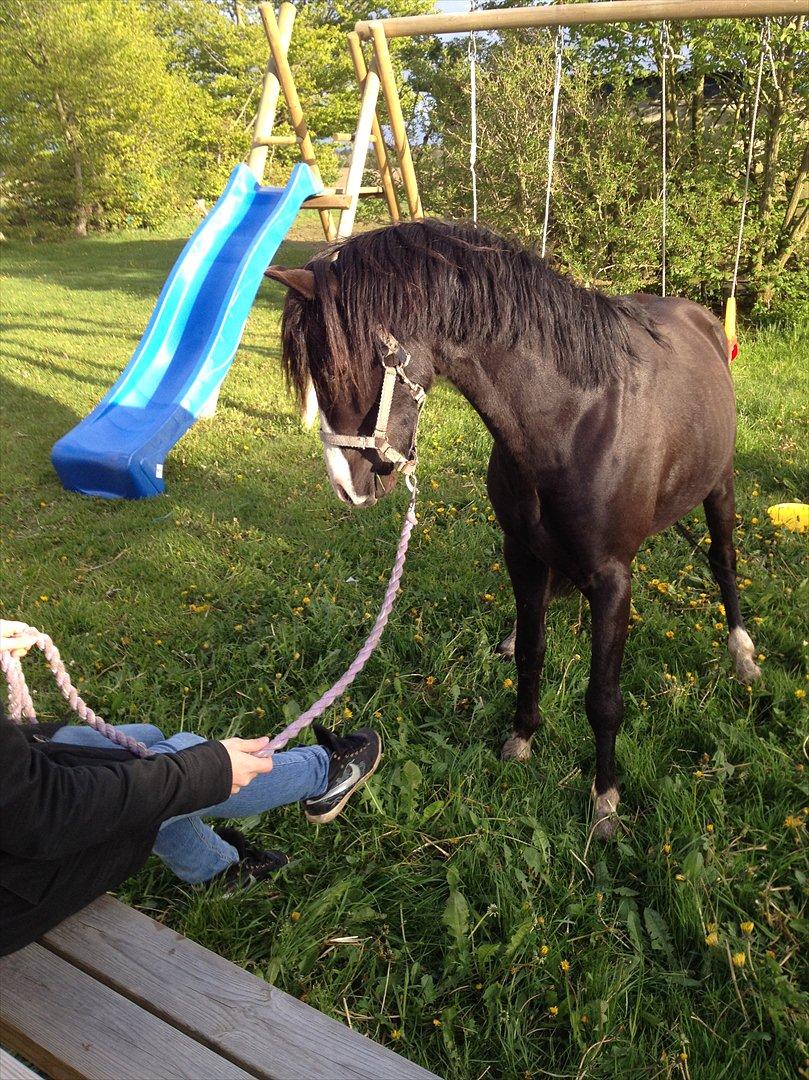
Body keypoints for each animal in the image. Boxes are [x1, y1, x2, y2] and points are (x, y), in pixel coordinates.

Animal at [264, 219, 756, 838]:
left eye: (339, 367)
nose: (345, 486)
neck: (573, 421)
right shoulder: (522, 553)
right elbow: (531, 651)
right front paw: (522, 736)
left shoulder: (613, 577)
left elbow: (604, 698)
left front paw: (605, 798)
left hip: (721, 487)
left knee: (723, 562)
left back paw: (743, 653)